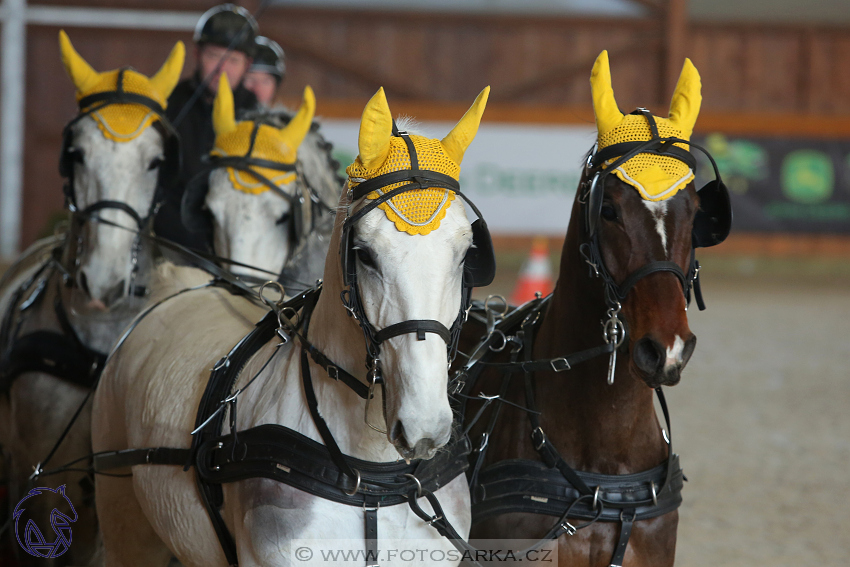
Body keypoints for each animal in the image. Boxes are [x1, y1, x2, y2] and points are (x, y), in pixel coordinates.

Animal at [90, 85, 490, 567]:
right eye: (365, 254)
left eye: (466, 253)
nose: (423, 425)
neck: (371, 474)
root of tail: (180, 287)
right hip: (124, 522)